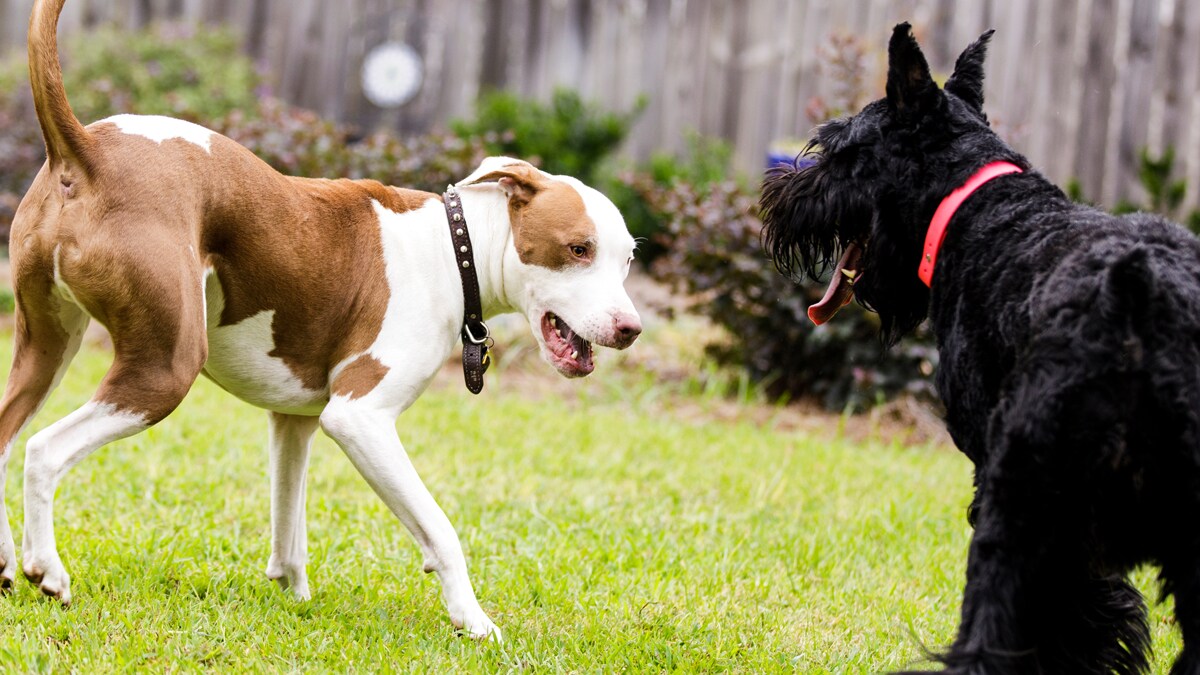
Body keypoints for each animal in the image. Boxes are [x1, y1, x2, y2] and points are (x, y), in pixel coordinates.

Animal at [0, 0, 643, 634]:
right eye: (578, 249)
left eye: (629, 258)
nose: (631, 329)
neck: (453, 247)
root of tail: (85, 149)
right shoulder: (360, 418)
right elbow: (440, 530)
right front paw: (474, 620)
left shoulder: (295, 420)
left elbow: (290, 526)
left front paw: (296, 597)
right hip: (164, 369)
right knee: (42, 452)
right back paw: (45, 568)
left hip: (45, 348)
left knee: (7, 438)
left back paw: (7, 563)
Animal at [758, 22, 1200, 672]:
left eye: (839, 149)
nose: (778, 196)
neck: (978, 206)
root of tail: (1141, 299)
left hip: (1023, 502)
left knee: (988, 630)